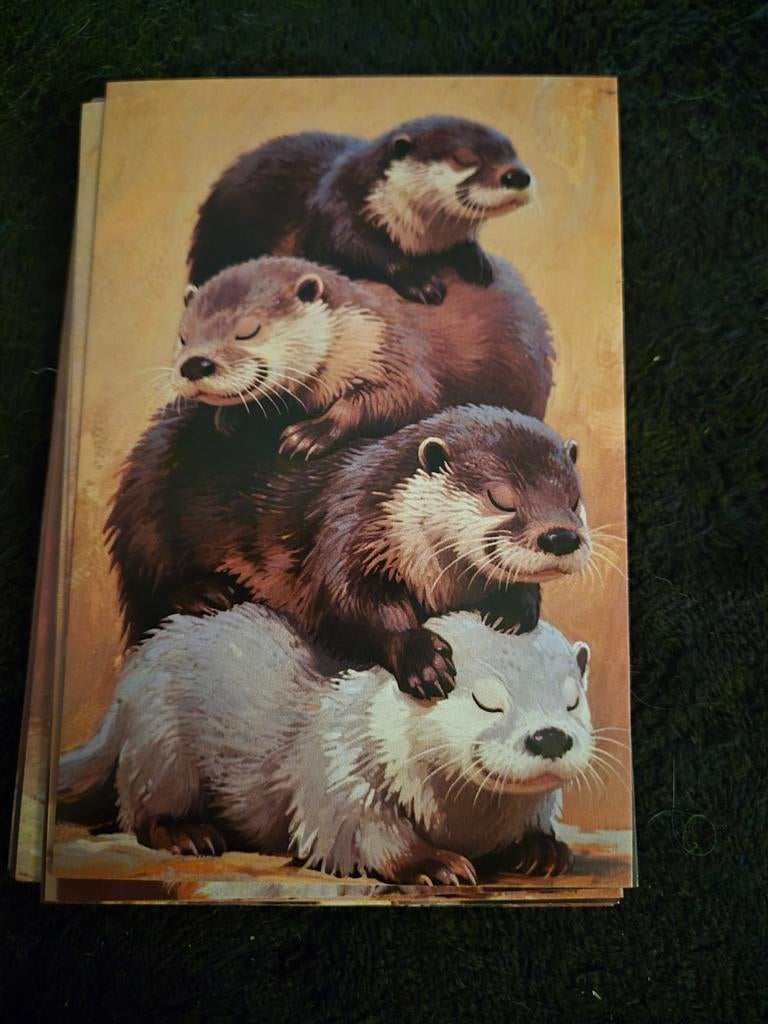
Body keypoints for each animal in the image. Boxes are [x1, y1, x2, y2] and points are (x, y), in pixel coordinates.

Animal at [58, 608, 593, 884]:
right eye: (487, 701)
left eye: (572, 700)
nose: (549, 736)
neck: (464, 823)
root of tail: (130, 680)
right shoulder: (342, 771)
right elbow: (355, 834)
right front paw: (435, 864)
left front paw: (542, 849)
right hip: (161, 746)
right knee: (142, 811)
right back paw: (189, 833)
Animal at [105, 404, 589, 697]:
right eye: (501, 498)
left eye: (573, 499)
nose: (561, 537)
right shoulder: (347, 529)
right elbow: (347, 602)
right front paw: (422, 657)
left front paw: (512, 607)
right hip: (146, 513)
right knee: (145, 586)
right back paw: (206, 592)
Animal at [172, 255, 553, 459]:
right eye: (183, 336)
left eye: (248, 330)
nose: (194, 364)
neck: (355, 333)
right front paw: (232, 415)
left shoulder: (393, 351)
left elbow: (399, 399)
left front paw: (310, 434)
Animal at [187, 116, 533, 304]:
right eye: (463, 157)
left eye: (512, 152)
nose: (518, 175)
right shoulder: (335, 215)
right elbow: (361, 252)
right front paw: (421, 282)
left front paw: (477, 261)